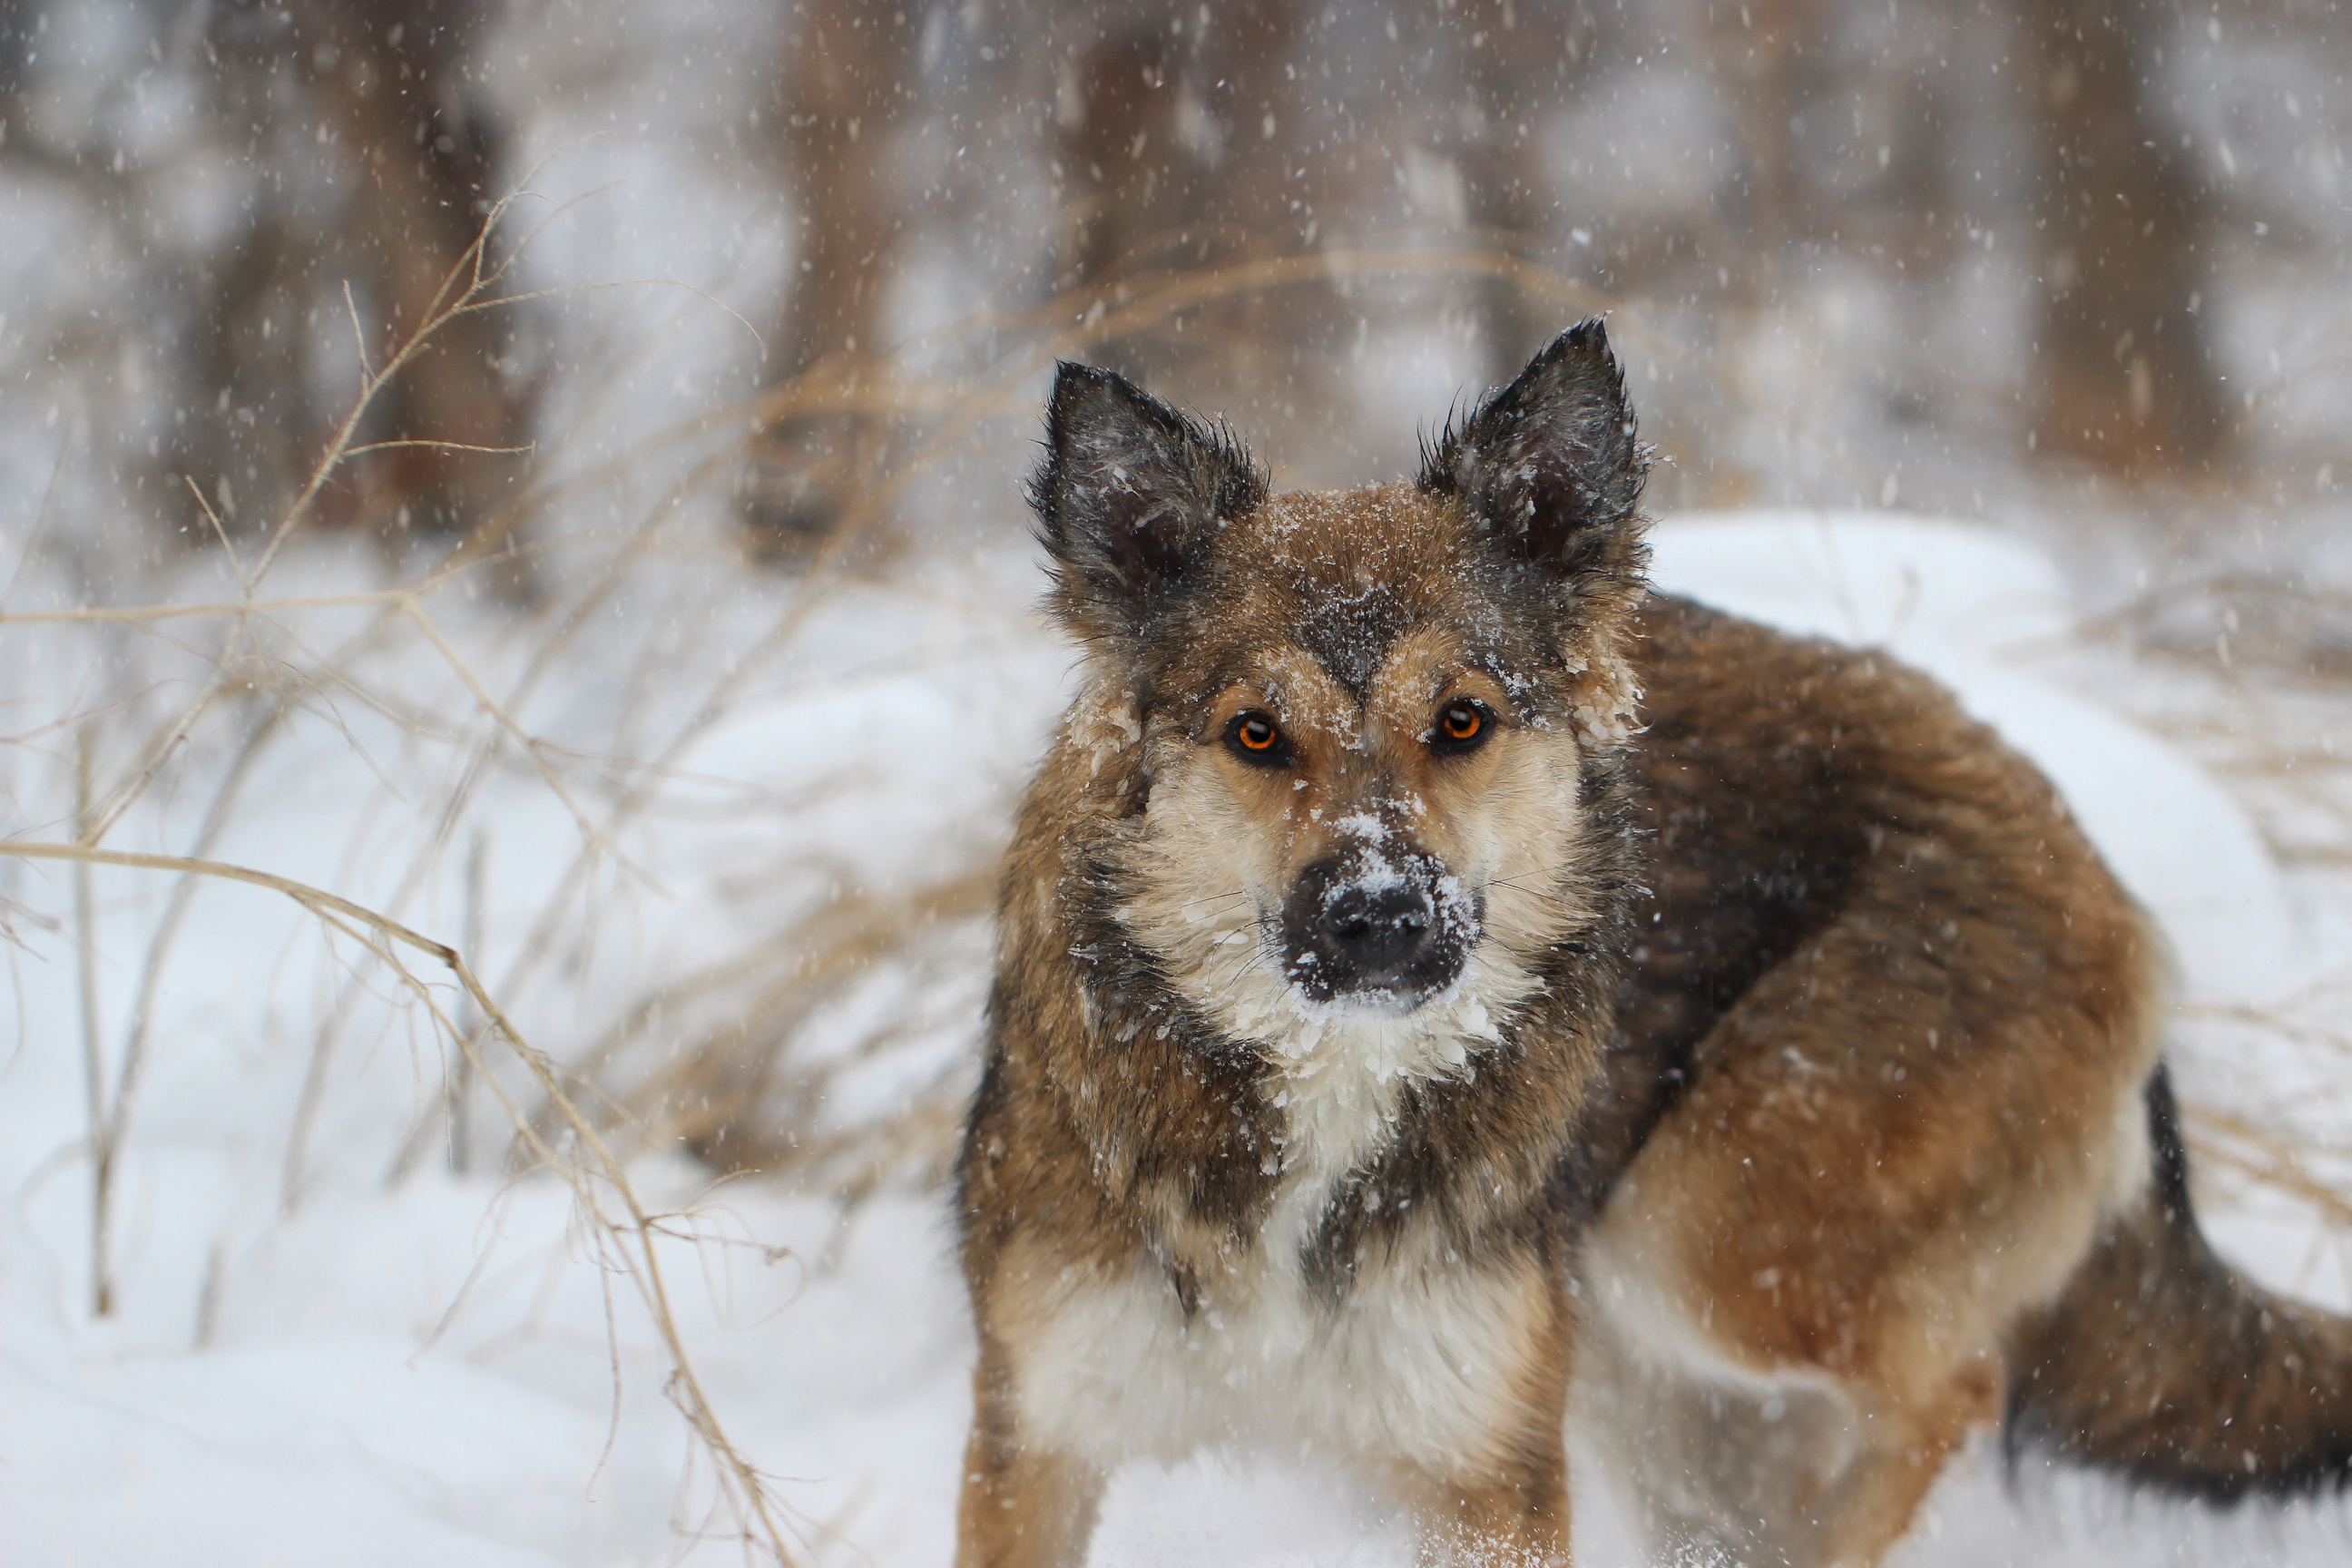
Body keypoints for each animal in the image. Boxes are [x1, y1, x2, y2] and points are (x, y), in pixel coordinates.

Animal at [950, 321, 2352, 1568]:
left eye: (1462, 721)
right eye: (1257, 734)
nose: (1380, 919)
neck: (1327, 1090)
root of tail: (2090, 855)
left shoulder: (1490, 1474)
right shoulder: (1035, 1447)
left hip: (1703, 1242)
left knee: (1961, 1384)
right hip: (1643, 1353)